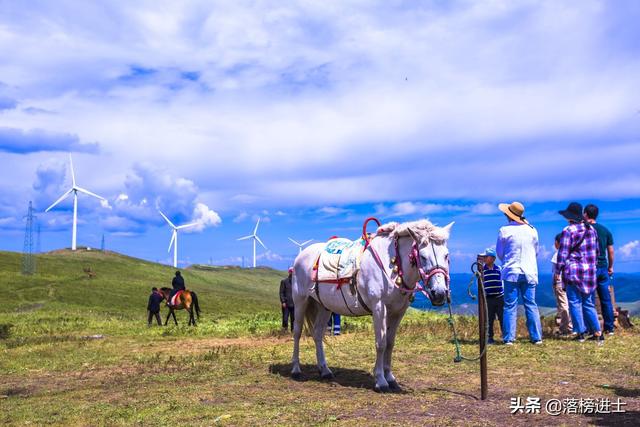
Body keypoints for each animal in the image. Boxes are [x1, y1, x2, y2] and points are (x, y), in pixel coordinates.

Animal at [290, 219, 450, 392]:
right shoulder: (379, 308)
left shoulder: (398, 312)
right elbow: (381, 343)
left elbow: (390, 343)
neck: (392, 264)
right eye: (423, 256)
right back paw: (296, 369)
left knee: (318, 333)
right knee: (297, 332)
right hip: (300, 300)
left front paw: (390, 377)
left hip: (324, 306)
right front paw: (380, 380)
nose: (439, 293)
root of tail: (301, 256)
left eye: (446, 255)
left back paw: (325, 370)